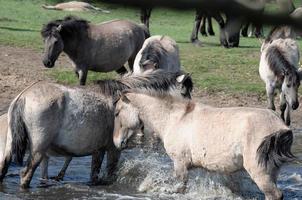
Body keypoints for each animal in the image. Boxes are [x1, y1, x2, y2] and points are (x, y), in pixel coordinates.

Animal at [0, 70, 193, 188]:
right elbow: (110, 174)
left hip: (10, 149)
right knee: (25, 175)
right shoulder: (114, 149)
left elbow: (94, 175)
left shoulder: (98, 150)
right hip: (38, 151)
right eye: (185, 93)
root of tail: (23, 96)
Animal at [114, 90, 294, 200]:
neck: (174, 118)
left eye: (116, 113)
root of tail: (281, 125)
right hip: (271, 171)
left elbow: (180, 188)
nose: (116, 142)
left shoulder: (180, 163)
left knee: (274, 195)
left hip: (259, 171)